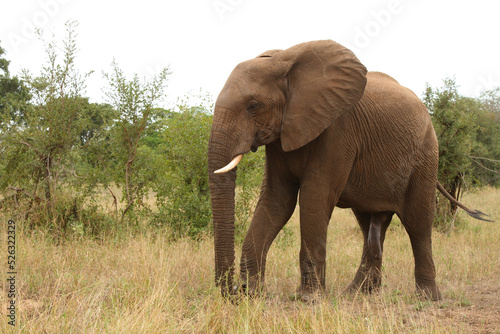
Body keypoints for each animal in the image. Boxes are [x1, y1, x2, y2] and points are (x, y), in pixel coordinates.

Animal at [206, 40, 488, 302]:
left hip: (426, 154)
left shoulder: (336, 130)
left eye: (253, 105)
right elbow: (277, 200)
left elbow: (314, 197)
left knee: (418, 222)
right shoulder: (282, 135)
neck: (284, 61)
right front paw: (253, 294)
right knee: (370, 225)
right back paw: (357, 293)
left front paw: (308, 299)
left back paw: (427, 297)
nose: (232, 291)